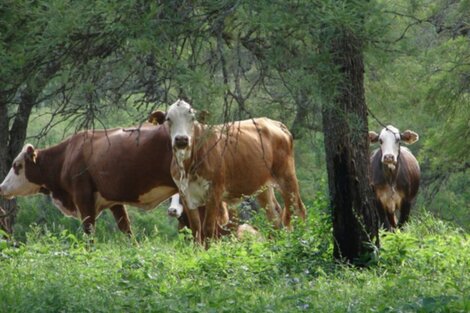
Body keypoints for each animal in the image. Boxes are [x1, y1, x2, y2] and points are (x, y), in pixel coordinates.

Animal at [0, 124, 176, 234]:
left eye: (17, 165)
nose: (2, 187)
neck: (66, 156)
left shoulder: (83, 197)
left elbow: (89, 230)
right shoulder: (114, 201)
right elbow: (126, 228)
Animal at [149, 98, 306, 240]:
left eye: (192, 118)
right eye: (169, 119)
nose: (181, 139)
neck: (187, 168)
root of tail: (275, 123)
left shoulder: (214, 192)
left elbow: (208, 229)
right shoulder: (186, 195)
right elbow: (196, 230)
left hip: (287, 177)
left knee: (298, 210)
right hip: (263, 187)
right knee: (274, 218)